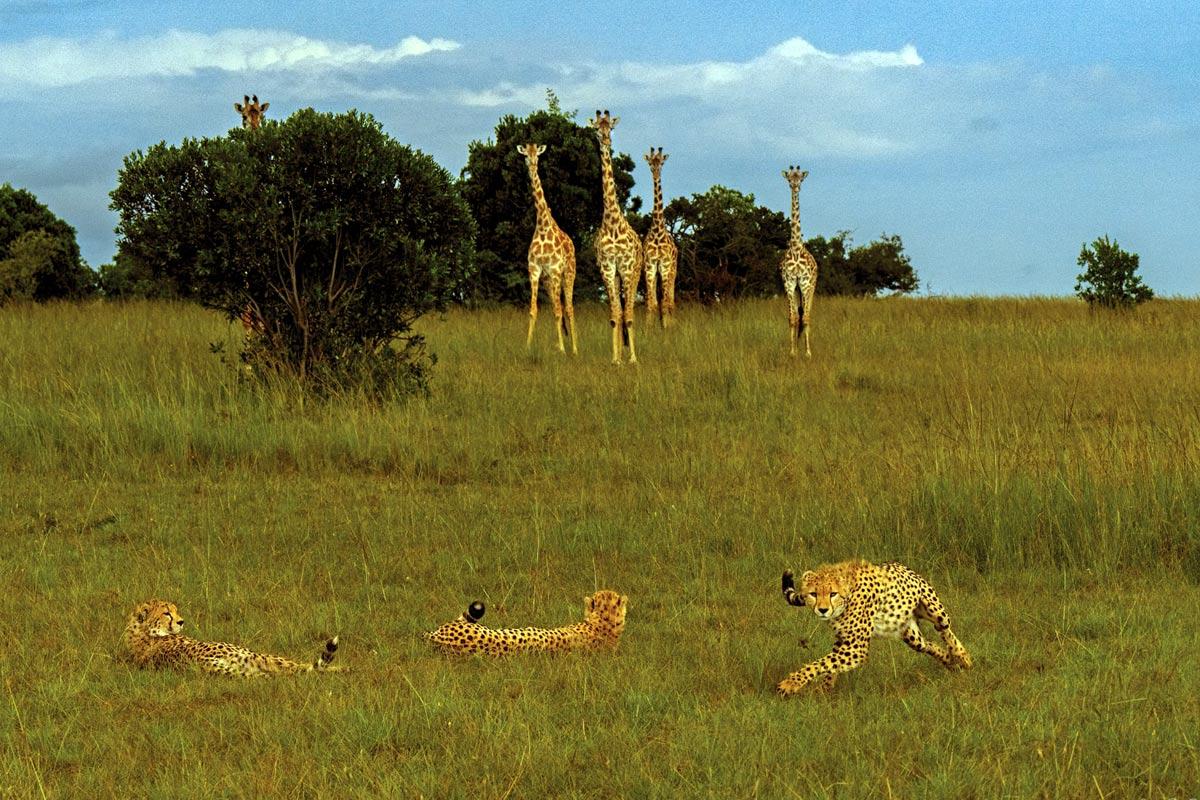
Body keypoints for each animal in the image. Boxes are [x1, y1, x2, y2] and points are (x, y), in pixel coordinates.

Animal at [516, 143, 577, 354]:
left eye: (538, 155)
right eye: (525, 155)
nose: (532, 164)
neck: (542, 227)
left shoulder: (555, 270)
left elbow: (560, 310)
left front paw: (563, 350)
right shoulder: (535, 271)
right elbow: (533, 310)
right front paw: (527, 347)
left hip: (567, 274)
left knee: (568, 308)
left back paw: (574, 349)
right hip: (549, 282)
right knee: (557, 306)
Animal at [776, 560, 972, 697]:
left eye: (833, 594)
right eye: (813, 594)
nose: (822, 610)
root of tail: (900, 564)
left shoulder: (856, 648)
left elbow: (821, 663)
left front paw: (790, 683)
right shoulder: (844, 640)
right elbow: (831, 664)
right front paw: (825, 689)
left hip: (934, 609)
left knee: (944, 629)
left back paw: (962, 656)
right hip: (910, 634)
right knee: (928, 644)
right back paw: (950, 660)